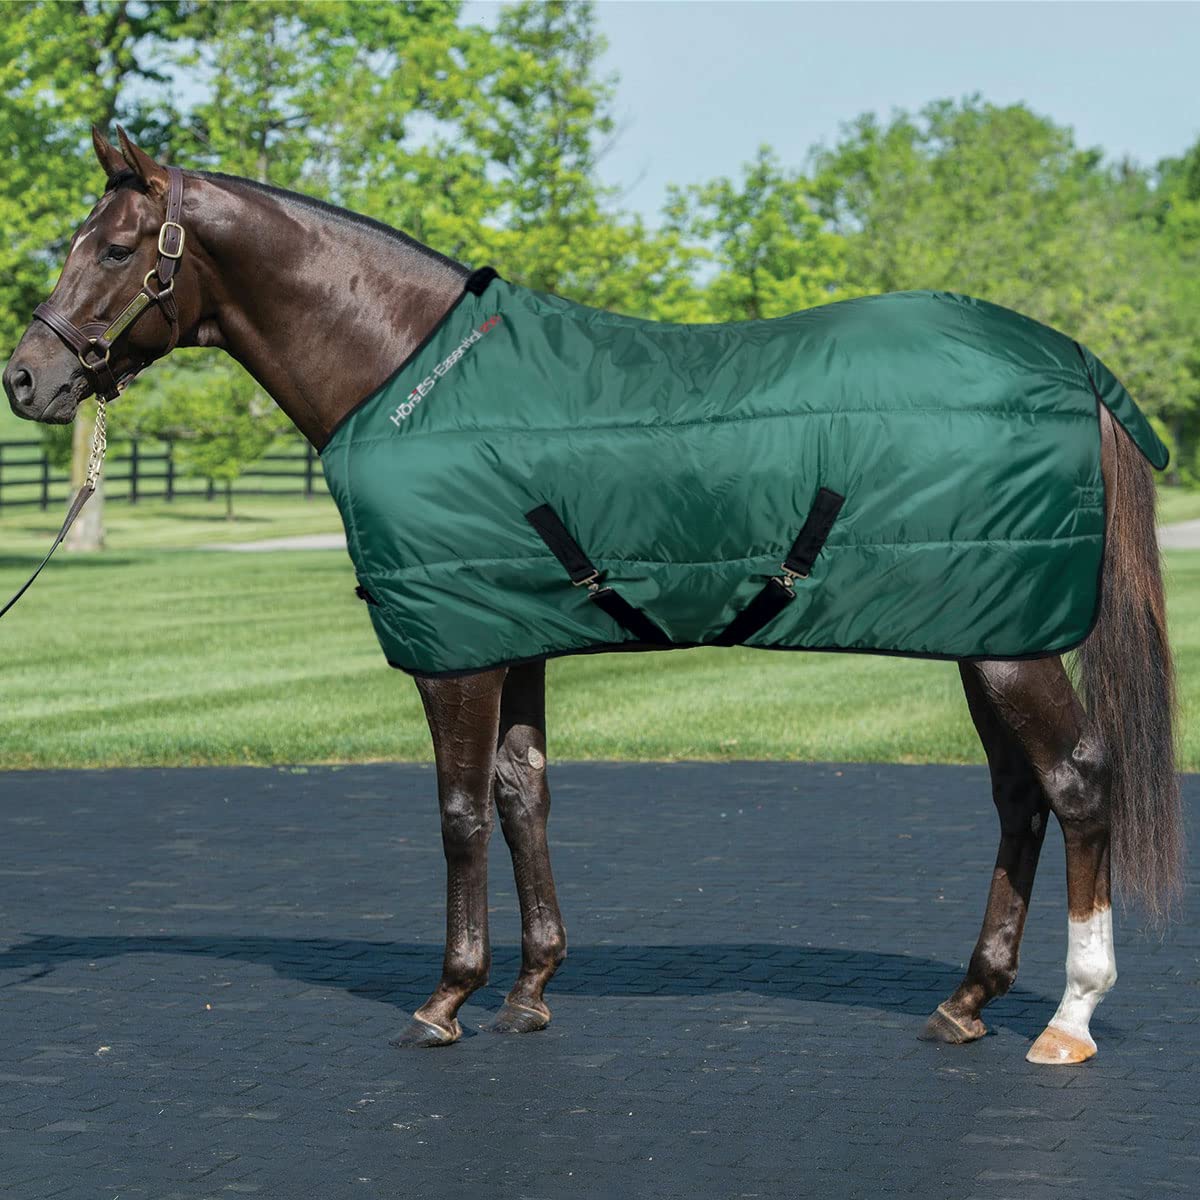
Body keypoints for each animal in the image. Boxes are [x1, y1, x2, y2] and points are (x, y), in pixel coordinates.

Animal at [3, 128, 1182, 1065]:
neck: (403, 375)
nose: (26, 379)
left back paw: (1068, 1018)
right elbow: (524, 795)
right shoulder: (513, 635)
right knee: (1021, 796)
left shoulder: (457, 654)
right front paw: (531, 991)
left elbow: (460, 811)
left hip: (1010, 644)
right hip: (985, 629)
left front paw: (447, 998)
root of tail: (1073, 361)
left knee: (1077, 782)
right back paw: (967, 1000)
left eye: (116, 248)